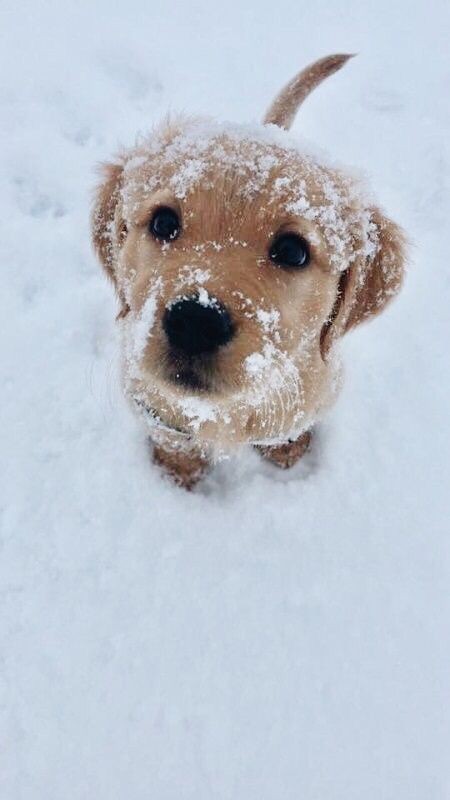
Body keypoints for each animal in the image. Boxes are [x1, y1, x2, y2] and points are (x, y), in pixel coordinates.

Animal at [92, 54, 408, 488]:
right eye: (162, 222)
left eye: (293, 251)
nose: (196, 322)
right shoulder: (149, 399)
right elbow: (173, 435)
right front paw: (179, 471)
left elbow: (288, 427)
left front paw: (287, 450)